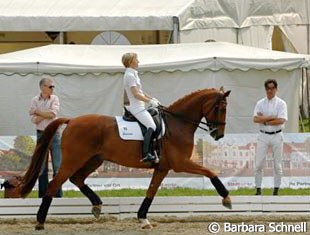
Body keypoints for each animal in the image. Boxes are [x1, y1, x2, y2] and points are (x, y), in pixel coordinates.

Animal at [12, 87, 231, 229]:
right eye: (221, 108)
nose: (218, 135)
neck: (177, 124)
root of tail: (72, 120)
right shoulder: (180, 163)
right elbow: (211, 172)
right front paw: (227, 198)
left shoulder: (163, 168)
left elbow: (151, 191)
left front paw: (143, 219)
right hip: (73, 160)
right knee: (54, 184)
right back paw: (40, 222)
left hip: (94, 160)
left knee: (77, 179)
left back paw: (97, 205)